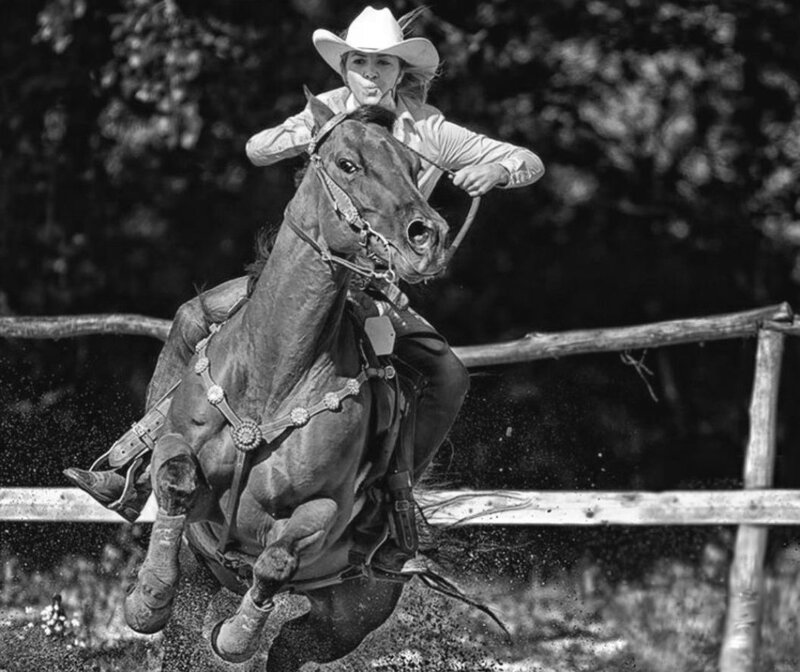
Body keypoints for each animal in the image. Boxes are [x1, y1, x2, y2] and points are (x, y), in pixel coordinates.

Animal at [122, 93, 450, 671]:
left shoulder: (324, 510)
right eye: (348, 164)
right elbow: (176, 479)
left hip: (346, 618)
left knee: (290, 639)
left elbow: (275, 561)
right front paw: (147, 600)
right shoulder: (177, 445)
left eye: (415, 167)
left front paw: (232, 637)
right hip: (204, 576)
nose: (427, 237)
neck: (274, 378)